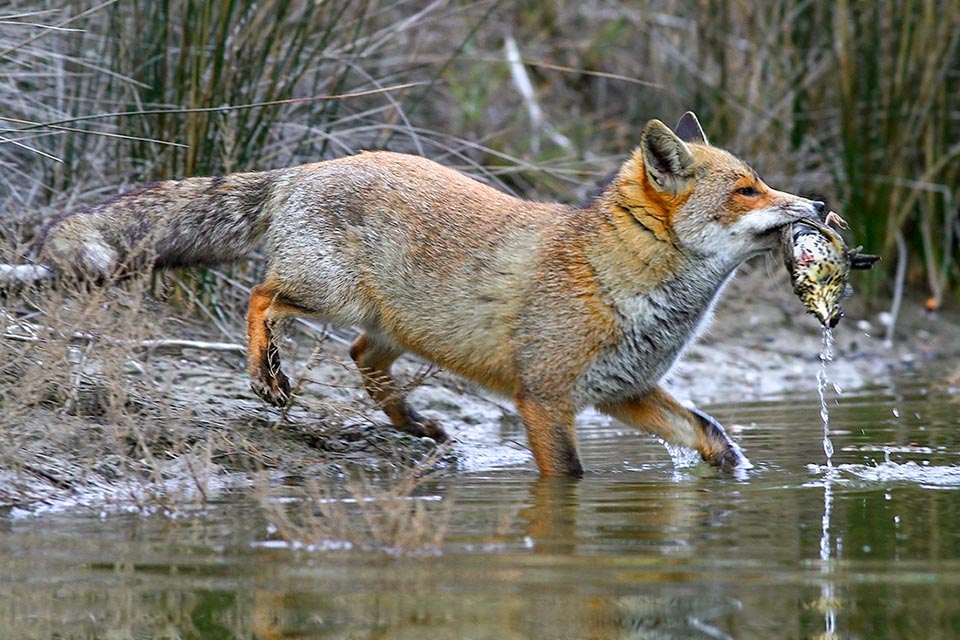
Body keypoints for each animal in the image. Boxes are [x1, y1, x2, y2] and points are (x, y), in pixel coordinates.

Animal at [39, 112, 824, 478]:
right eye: (747, 190)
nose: (818, 206)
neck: (620, 281)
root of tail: (308, 166)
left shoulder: (623, 392)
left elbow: (713, 437)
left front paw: (736, 478)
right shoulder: (544, 399)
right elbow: (568, 478)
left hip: (382, 323)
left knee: (363, 360)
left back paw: (416, 426)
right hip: (327, 294)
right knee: (261, 295)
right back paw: (267, 375)